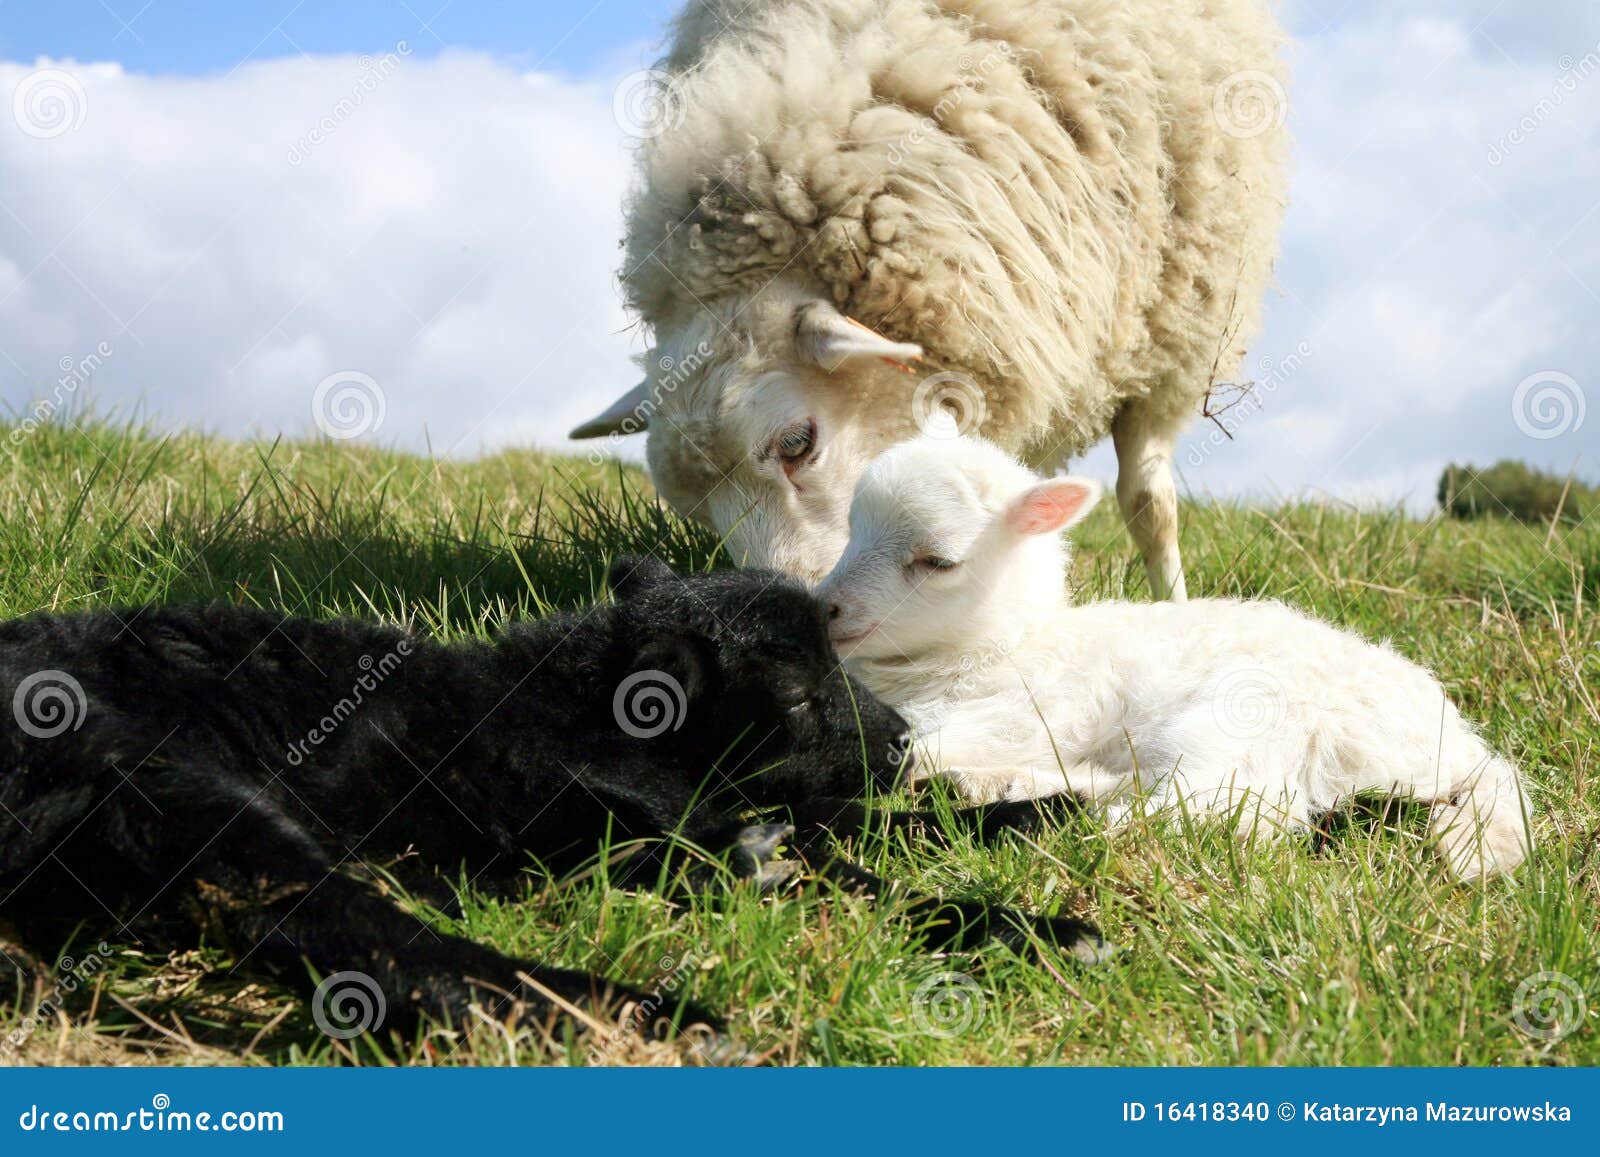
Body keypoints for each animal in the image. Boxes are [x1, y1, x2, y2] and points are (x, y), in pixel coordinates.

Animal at [0, 557, 1106, 1054]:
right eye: (798, 695)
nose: (902, 739)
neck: (575, 703)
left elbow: (861, 822)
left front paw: (1038, 811)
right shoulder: (581, 810)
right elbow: (843, 863)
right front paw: (1030, 924)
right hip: (160, 780)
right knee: (366, 938)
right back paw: (662, 1018)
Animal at [814, 437, 1534, 881]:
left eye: (936, 561)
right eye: (851, 528)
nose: (824, 607)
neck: (1000, 646)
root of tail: (1464, 749)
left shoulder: (1021, 710)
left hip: (1249, 720)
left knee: (1230, 811)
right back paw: (991, 786)